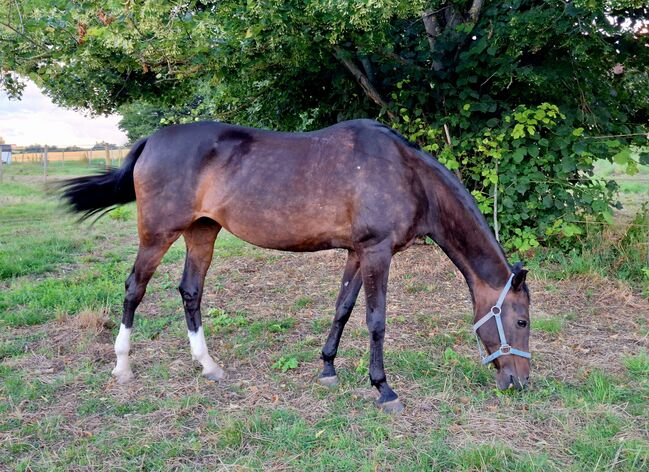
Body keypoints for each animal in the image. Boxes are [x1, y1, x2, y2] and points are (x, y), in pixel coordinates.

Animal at [58, 119, 528, 412]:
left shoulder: (357, 253)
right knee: (133, 289)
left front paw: (328, 368)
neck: (407, 174)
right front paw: (383, 388)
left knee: (191, 291)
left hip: (202, 232)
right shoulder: (377, 252)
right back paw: (122, 366)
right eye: (522, 321)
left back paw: (208, 365)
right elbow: (376, 320)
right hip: (157, 235)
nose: (520, 382)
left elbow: (343, 309)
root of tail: (151, 141)